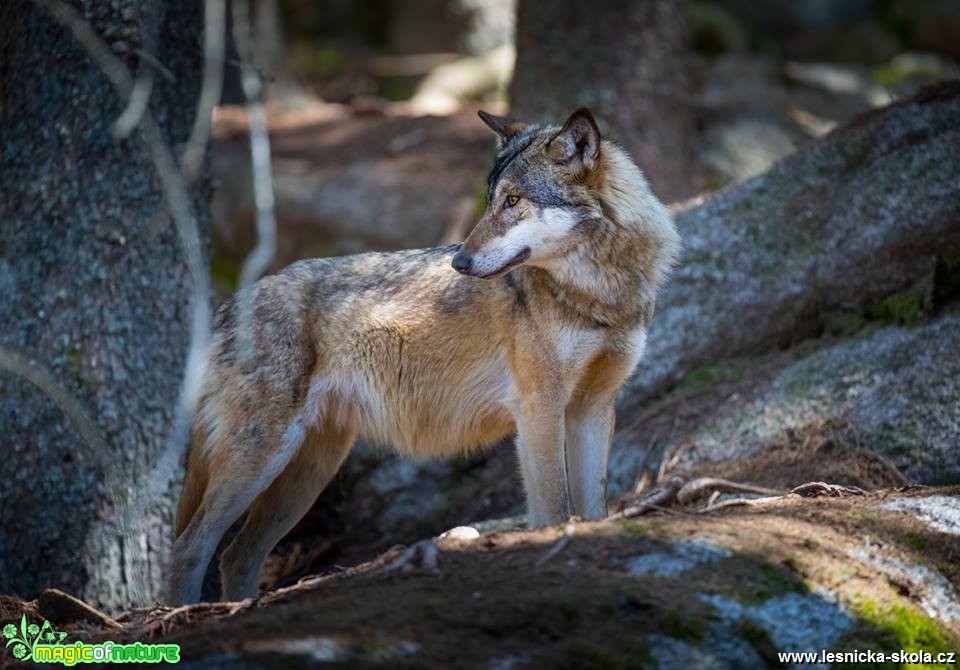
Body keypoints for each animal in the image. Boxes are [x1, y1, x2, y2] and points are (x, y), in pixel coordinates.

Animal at [172, 107, 684, 608]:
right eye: (491, 201)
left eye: (513, 201)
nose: (460, 263)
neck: (599, 295)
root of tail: (226, 307)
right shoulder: (539, 409)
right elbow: (554, 510)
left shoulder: (592, 409)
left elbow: (593, 509)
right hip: (261, 459)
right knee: (189, 546)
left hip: (306, 474)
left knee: (237, 554)